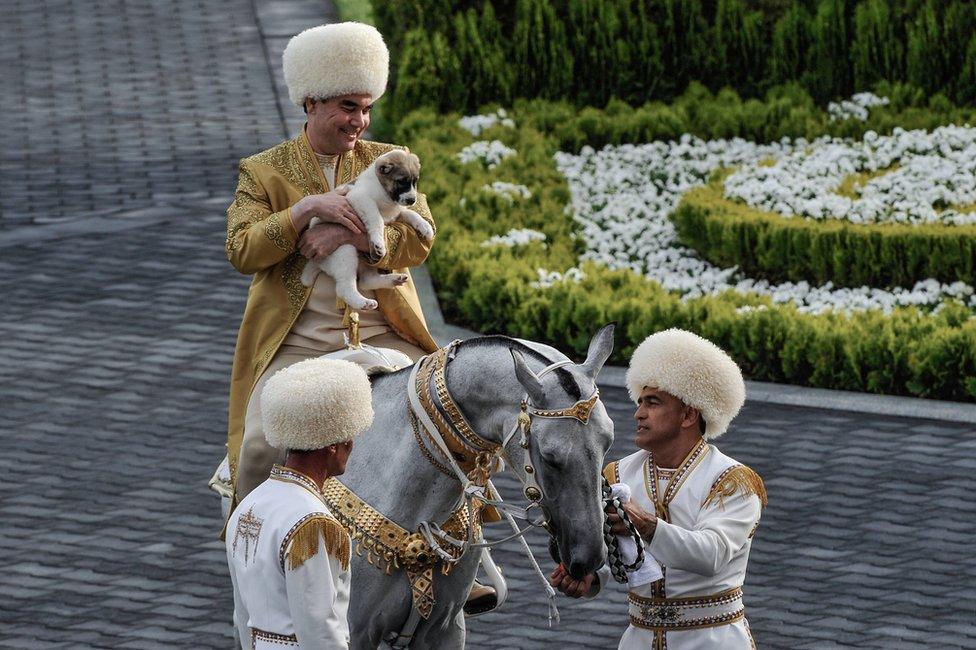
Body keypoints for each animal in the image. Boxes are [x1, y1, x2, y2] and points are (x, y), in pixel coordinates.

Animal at [300, 149, 432, 308]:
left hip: (365, 262)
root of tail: (315, 261)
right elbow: (376, 219)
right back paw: (363, 302)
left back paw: (394, 279)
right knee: (344, 288)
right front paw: (379, 243)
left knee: (366, 282)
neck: (384, 192)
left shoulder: (394, 215)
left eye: (415, 181)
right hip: (344, 251)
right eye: (401, 181)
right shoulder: (360, 198)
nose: (412, 200)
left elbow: (411, 214)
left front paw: (425, 227)